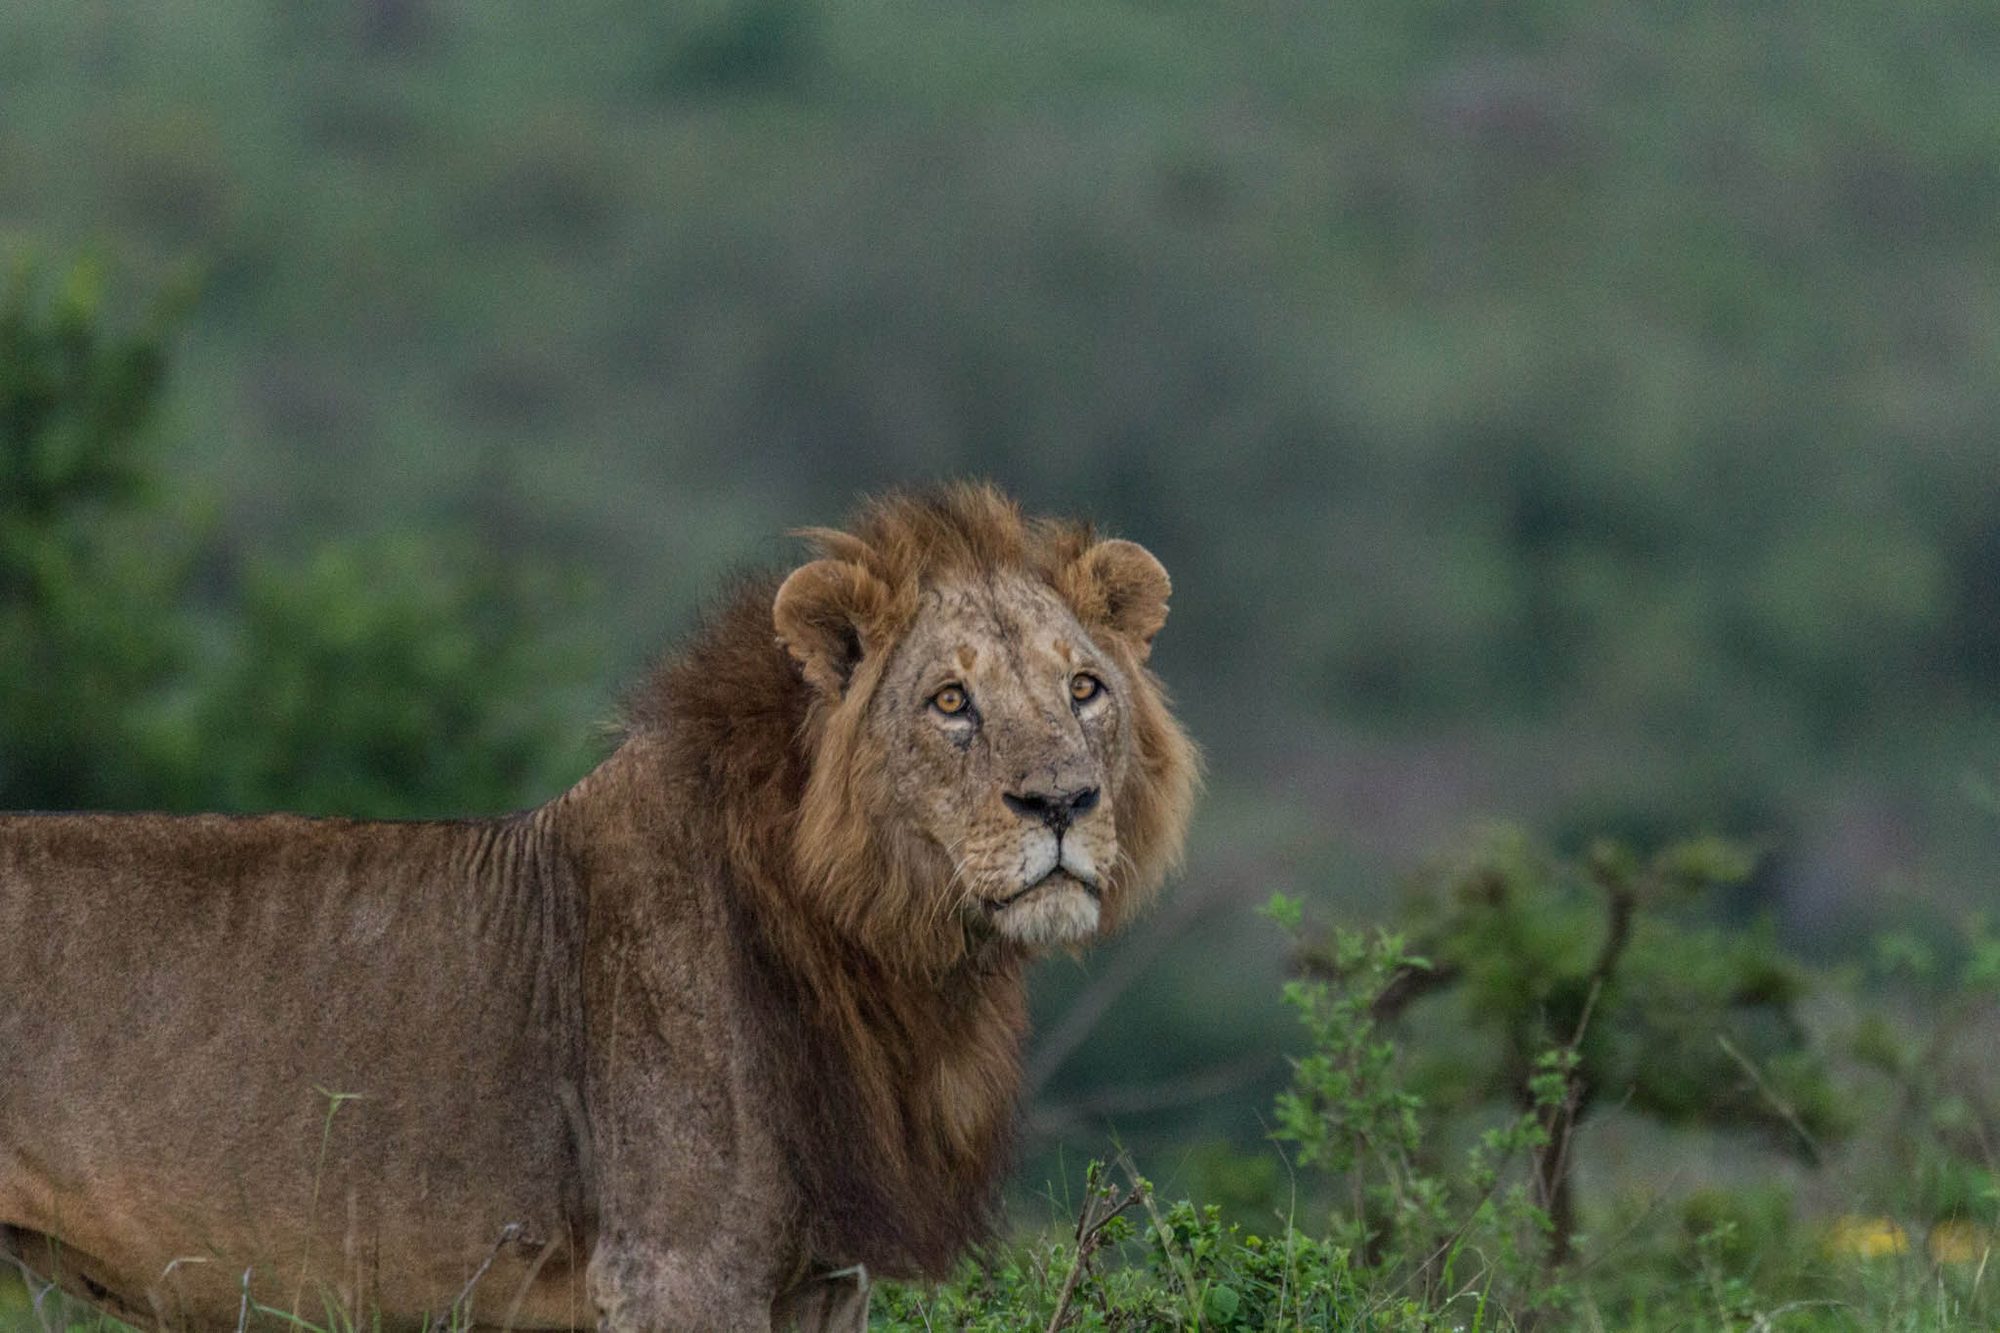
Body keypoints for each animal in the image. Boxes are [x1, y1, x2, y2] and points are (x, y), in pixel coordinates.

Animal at [0, 483, 1199, 1332]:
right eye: (951, 701)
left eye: (1084, 689)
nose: (1062, 801)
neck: (896, 959)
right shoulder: (679, 1268)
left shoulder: (823, 1283)